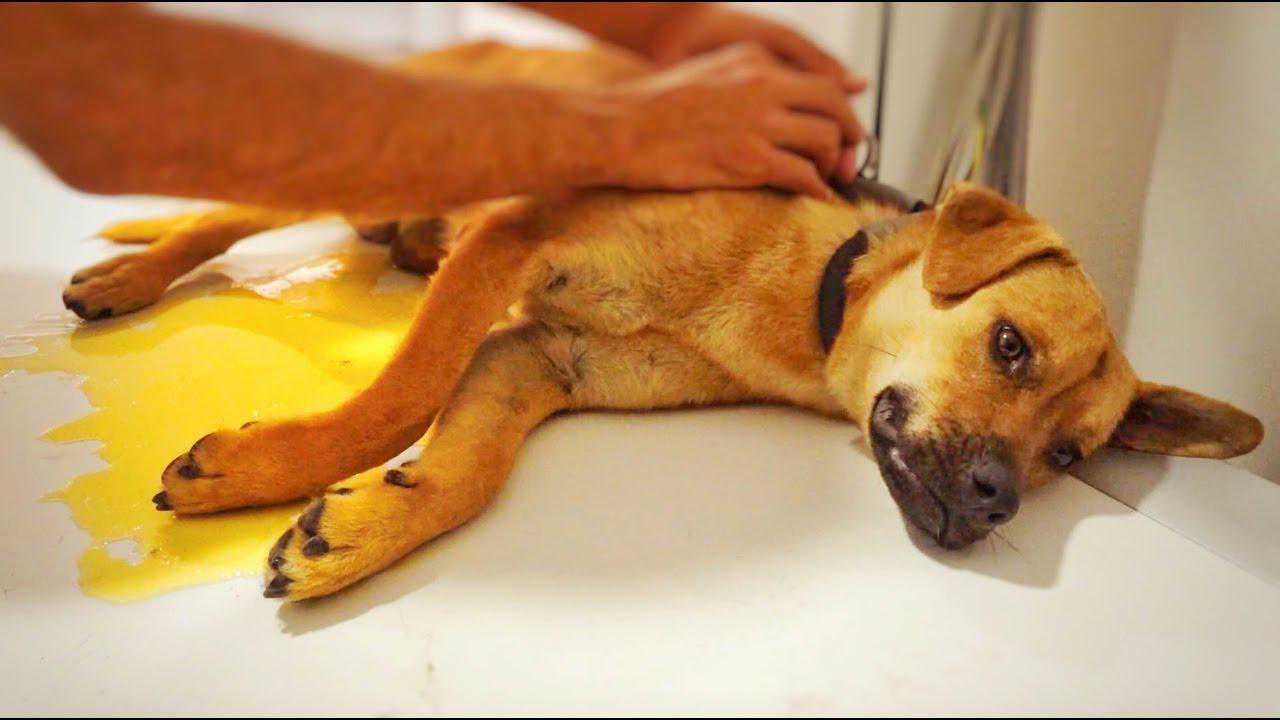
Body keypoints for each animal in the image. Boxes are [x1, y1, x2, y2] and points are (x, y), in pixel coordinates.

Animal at [60, 43, 1263, 600]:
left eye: (1069, 456)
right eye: (1010, 346)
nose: (995, 500)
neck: (795, 287)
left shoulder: (540, 357)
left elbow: (468, 466)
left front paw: (364, 525)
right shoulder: (518, 239)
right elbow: (401, 391)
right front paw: (272, 465)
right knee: (218, 217)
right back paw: (130, 274)